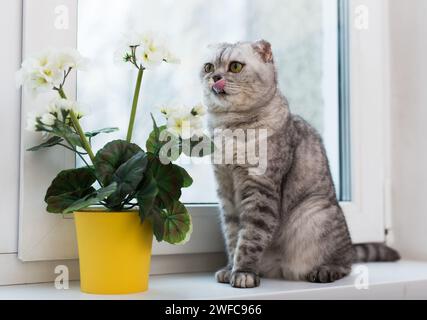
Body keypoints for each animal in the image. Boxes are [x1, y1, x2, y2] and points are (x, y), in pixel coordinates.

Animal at [201, 38, 402, 288]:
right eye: (208, 67)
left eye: (235, 66)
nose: (215, 77)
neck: (230, 128)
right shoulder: (226, 194)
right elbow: (232, 237)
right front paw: (230, 268)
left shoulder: (261, 190)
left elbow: (249, 238)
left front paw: (243, 272)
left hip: (315, 214)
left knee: (345, 263)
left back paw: (326, 270)